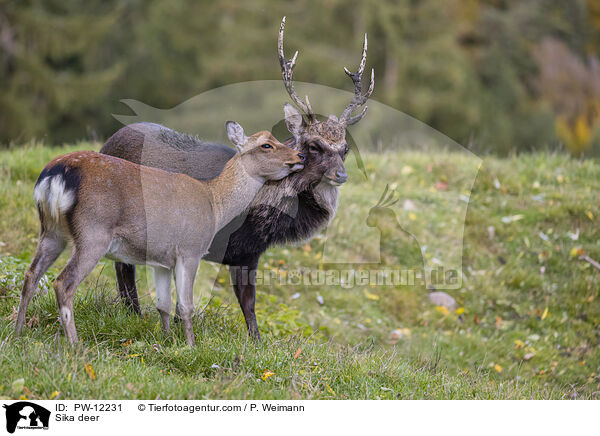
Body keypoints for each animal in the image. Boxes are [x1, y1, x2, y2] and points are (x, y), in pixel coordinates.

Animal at [15, 122, 304, 344]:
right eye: (266, 144)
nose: (299, 156)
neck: (214, 204)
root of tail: (55, 175)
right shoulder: (190, 250)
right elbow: (185, 305)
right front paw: (190, 345)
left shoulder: (160, 259)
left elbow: (163, 304)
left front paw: (166, 341)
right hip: (93, 233)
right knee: (63, 282)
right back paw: (75, 345)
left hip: (51, 231)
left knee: (31, 275)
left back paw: (17, 333)